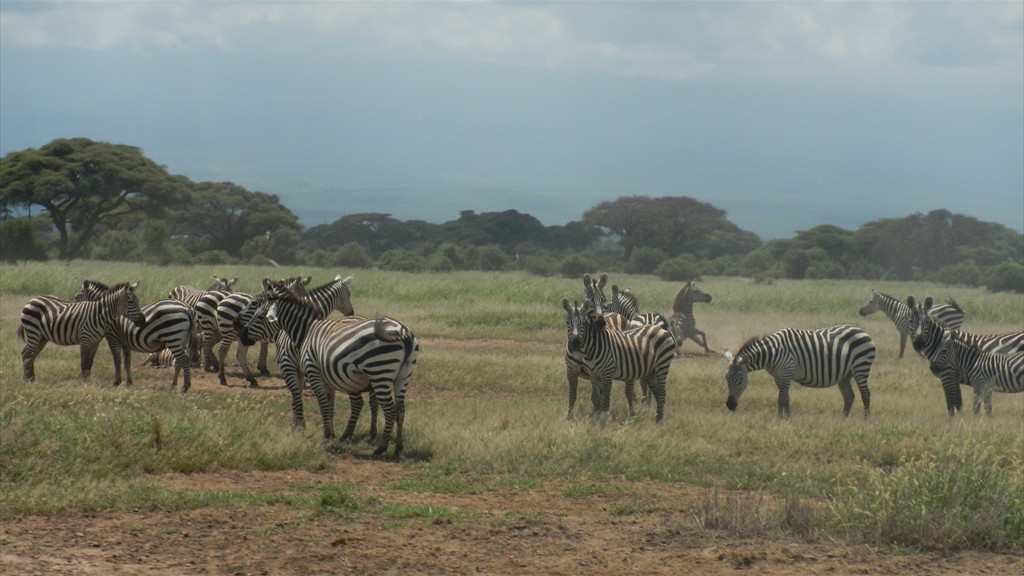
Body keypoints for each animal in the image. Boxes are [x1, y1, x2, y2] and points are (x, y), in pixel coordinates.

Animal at [18, 282, 147, 381]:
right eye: (131, 302)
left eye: (137, 300)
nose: (143, 321)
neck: (99, 314)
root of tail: (32, 299)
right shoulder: (85, 340)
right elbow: (84, 362)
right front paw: (83, 382)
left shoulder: (95, 342)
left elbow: (90, 362)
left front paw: (87, 380)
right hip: (33, 332)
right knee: (26, 354)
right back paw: (27, 379)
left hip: (41, 337)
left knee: (31, 355)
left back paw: (32, 378)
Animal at [237, 289, 417, 455]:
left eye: (260, 316)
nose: (241, 334)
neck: (306, 331)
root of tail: (403, 333)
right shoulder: (325, 375)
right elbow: (327, 403)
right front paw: (327, 432)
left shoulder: (311, 371)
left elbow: (321, 402)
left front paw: (324, 435)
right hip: (402, 376)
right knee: (400, 409)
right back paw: (398, 448)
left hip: (379, 372)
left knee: (389, 410)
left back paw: (381, 448)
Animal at [724, 323, 876, 416]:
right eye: (726, 378)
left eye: (740, 380)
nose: (730, 405)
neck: (772, 352)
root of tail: (862, 331)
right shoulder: (778, 377)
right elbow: (786, 397)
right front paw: (787, 418)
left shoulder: (786, 372)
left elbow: (781, 398)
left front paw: (779, 420)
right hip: (845, 374)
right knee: (849, 396)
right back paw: (843, 420)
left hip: (861, 367)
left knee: (865, 394)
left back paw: (866, 420)